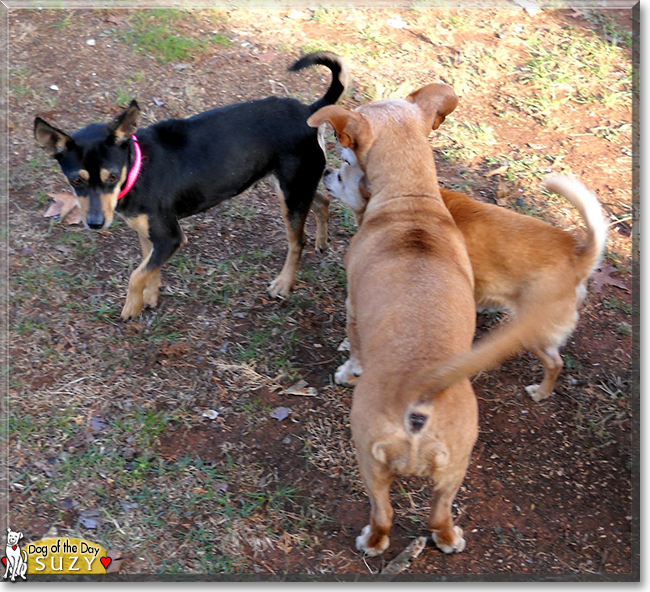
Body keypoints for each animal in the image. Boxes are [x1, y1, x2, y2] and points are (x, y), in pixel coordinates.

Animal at [35, 52, 346, 320]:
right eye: (76, 180)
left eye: (111, 176)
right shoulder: (150, 235)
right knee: (322, 200)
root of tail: (308, 110)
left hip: (292, 191)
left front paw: (132, 306)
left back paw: (283, 283)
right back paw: (322, 241)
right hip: (295, 186)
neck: (136, 170)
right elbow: (147, 267)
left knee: (297, 241)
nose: (95, 223)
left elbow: (136, 274)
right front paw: (150, 296)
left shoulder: (171, 237)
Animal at [306, 85, 478, 556]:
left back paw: (372, 540)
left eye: (345, 158)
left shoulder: (352, 303)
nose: (327, 170)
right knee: (439, 513)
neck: (411, 198)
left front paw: (347, 368)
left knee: (383, 513)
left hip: (369, 458)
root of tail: (419, 403)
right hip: (455, 467)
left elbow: (354, 344)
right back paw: (449, 538)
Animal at [322, 169, 604, 404]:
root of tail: (577, 255)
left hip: (531, 332)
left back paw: (541, 392)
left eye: (341, 175)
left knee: (554, 363)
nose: (325, 170)